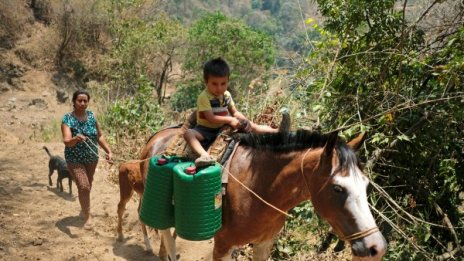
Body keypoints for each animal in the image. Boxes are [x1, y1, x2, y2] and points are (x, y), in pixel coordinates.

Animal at [142, 126, 388, 258]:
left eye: (366, 185)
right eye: (337, 188)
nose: (377, 247)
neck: (258, 189)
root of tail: (157, 136)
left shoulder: (264, 244)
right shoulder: (222, 246)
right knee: (166, 236)